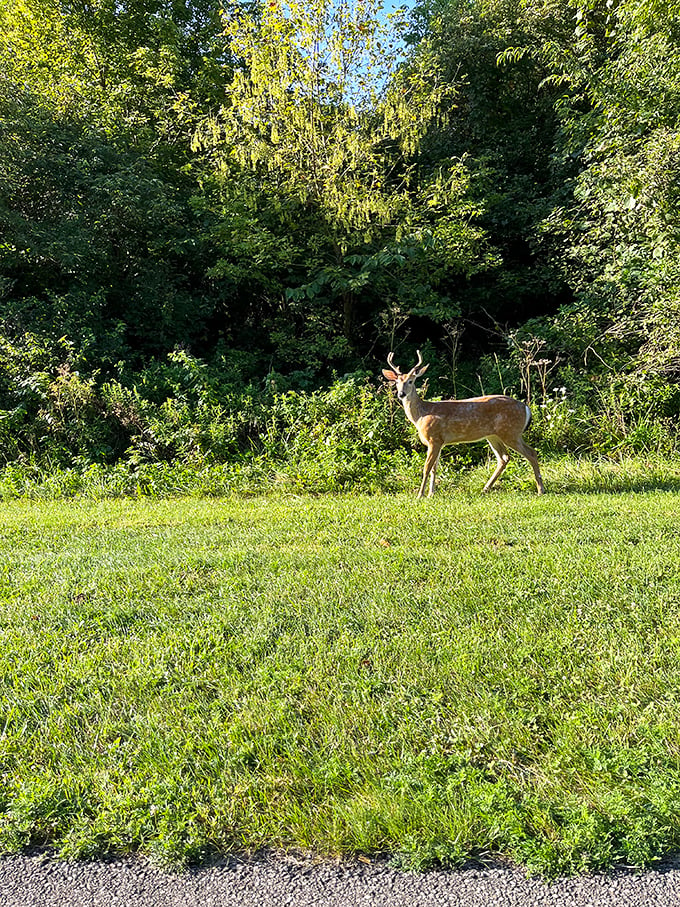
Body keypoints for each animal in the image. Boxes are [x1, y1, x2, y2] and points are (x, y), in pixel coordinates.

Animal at [382, 352, 548, 500]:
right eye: (397, 382)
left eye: (411, 381)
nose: (401, 394)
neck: (420, 416)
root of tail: (525, 407)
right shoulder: (439, 442)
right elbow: (435, 468)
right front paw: (431, 494)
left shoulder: (434, 438)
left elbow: (426, 468)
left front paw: (420, 495)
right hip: (494, 435)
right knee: (504, 458)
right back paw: (485, 488)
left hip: (511, 432)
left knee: (531, 453)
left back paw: (540, 490)